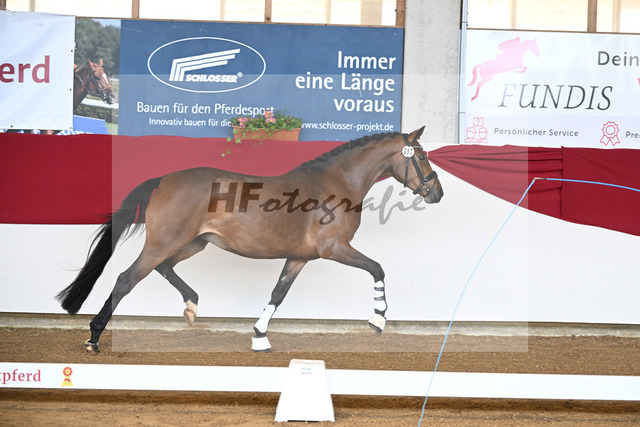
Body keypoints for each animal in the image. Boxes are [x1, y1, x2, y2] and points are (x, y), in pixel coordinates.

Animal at [56, 127, 444, 353]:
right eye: (422, 156)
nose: (436, 193)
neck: (338, 182)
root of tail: (164, 179)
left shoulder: (300, 257)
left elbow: (278, 294)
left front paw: (260, 336)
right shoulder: (335, 249)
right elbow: (377, 268)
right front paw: (378, 319)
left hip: (193, 243)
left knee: (164, 269)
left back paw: (192, 306)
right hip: (164, 242)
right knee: (126, 280)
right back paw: (93, 337)